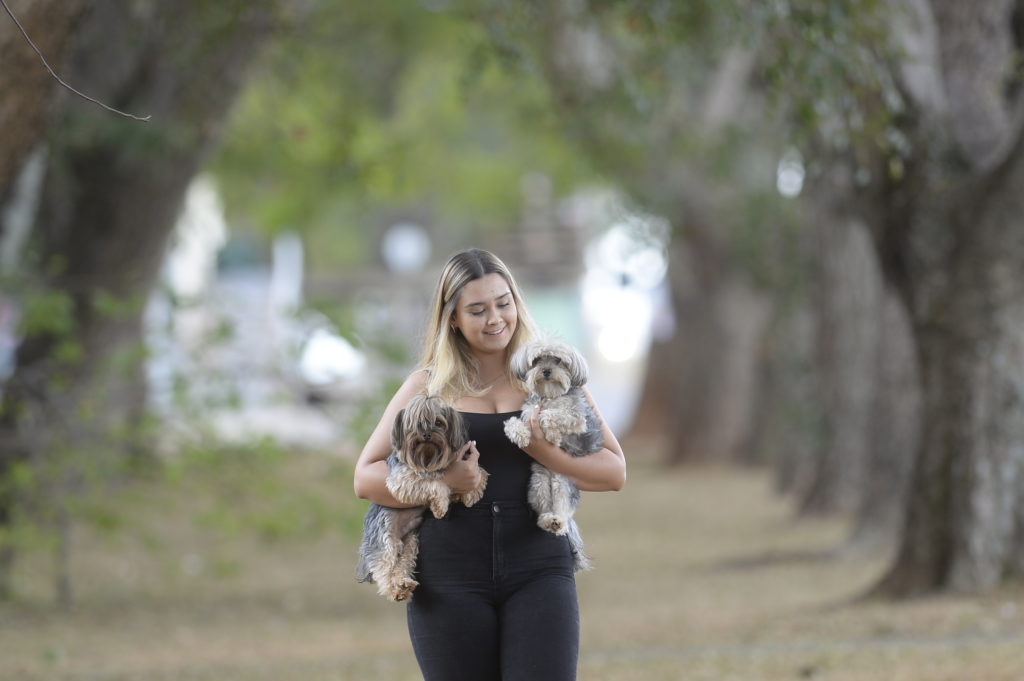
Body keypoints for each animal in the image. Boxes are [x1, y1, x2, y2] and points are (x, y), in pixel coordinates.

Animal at [358, 393, 489, 602]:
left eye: (438, 422)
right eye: (416, 424)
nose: (426, 434)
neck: (428, 456)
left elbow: (481, 472)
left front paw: (472, 492)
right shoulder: (402, 480)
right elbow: (435, 482)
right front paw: (441, 505)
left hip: (410, 542)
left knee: (402, 564)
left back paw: (403, 584)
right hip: (384, 538)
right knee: (384, 568)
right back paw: (395, 590)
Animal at [501, 337, 598, 569]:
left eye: (558, 360)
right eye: (536, 360)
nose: (545, 370)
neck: (549, 395)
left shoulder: (576, 417)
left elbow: (551, 415)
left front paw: (552, 434)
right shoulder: (529, 409)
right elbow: (516, 422)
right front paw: (520, 434)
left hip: (562, 483)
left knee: (562, 509)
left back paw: (558, 521)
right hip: (539, 483)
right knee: (542, 512)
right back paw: (548, 519)